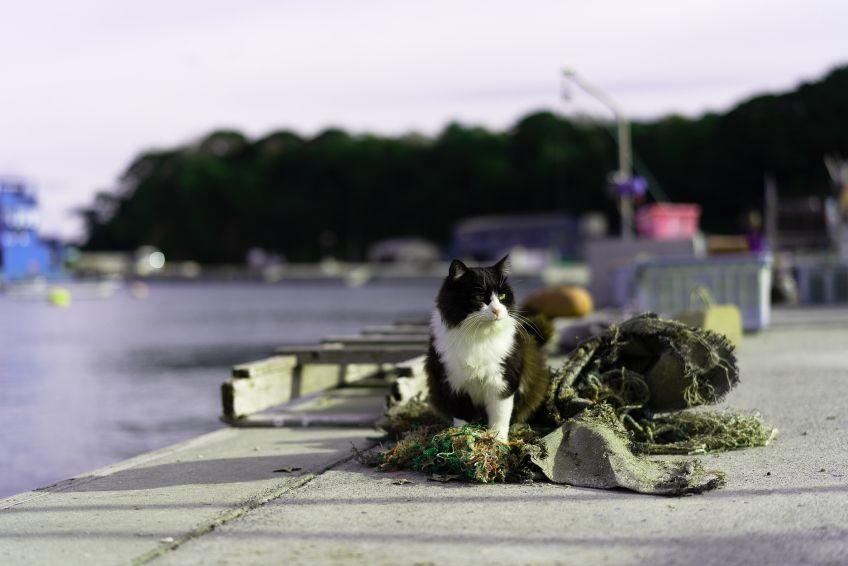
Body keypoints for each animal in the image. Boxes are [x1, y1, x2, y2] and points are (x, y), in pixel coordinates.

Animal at [424, 258, 548, 444]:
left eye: (502, 296)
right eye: (479, 297)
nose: (497, 311)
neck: (479, 336)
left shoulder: (503, 381)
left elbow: (500, 416)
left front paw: (499, 442)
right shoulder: (452, 382)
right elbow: (461, 416)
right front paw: (462, 438)